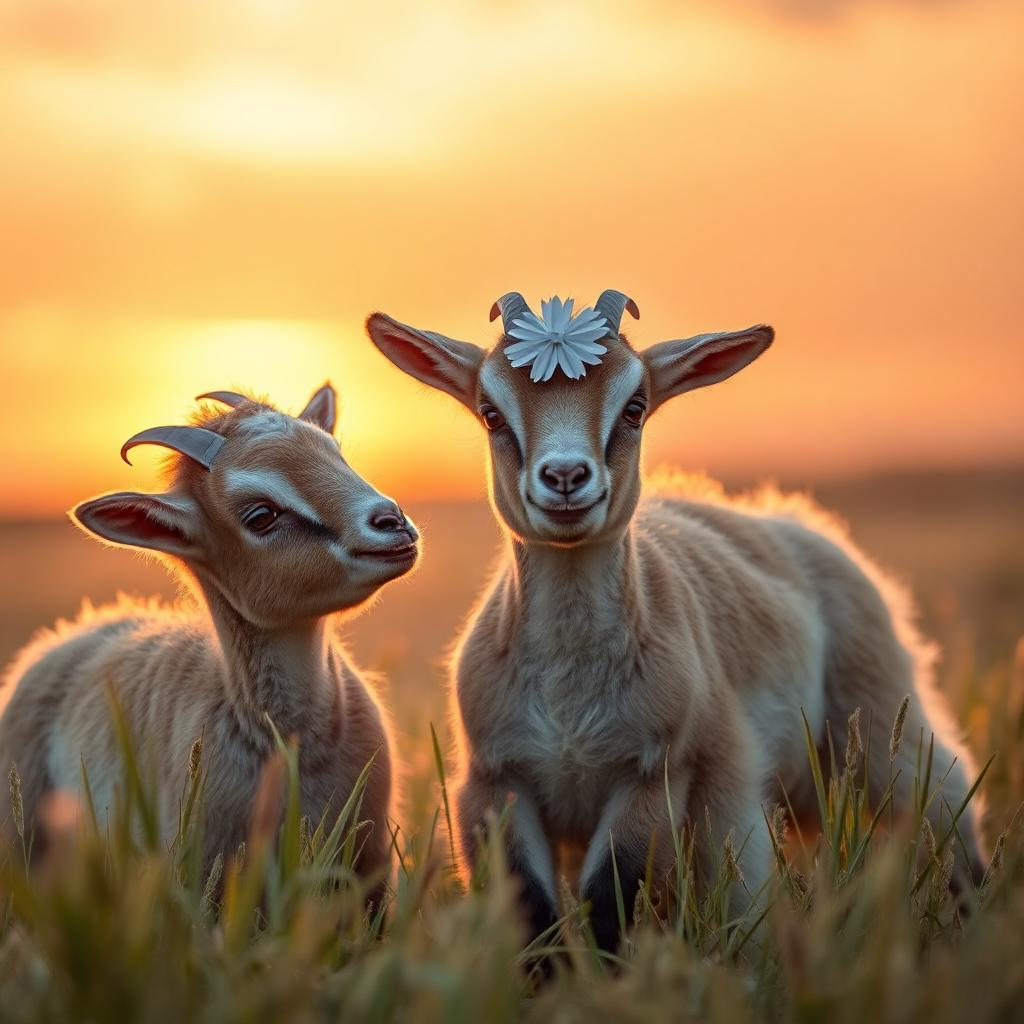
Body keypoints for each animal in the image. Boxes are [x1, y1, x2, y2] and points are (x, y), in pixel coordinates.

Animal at [366, 290, 986, 949]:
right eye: (490, 412)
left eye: (635, 406)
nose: (565, 477)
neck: (569, 694)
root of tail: (794, 523)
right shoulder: (498, 782)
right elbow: (534, 909)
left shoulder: (653, 775)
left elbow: (611, 894)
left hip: (876, 723)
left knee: (943, 798)